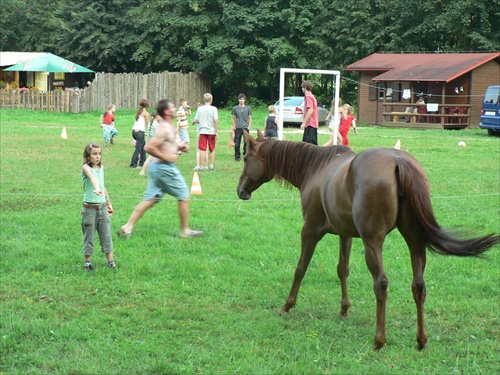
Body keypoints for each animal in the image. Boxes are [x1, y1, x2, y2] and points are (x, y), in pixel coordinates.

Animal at [236, 131, 498, 352]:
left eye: (247, 158)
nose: (240, 191)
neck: (315, 168)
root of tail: (398, 161)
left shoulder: (310, 231)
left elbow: (300, 269)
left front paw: (288, 305)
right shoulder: (345, 235)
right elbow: (342, 269)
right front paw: (344, 308)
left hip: (373, 243)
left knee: (381, 284)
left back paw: (379, 340)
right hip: (414, 241)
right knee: (419, 285)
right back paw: (421, 340)